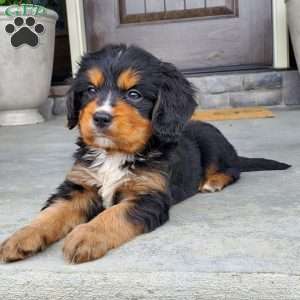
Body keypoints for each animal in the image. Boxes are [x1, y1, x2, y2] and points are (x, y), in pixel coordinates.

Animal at [0, 44, 290, 262]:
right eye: (90, 90)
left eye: (134, 94)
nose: (100, 117)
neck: (114, 153)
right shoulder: (79, 185)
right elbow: (51, 213)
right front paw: (21, 237)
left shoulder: (148, 196)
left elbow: (112, 214)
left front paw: (85, 235)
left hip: (214, 146)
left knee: (233, 169)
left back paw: (213, 182)